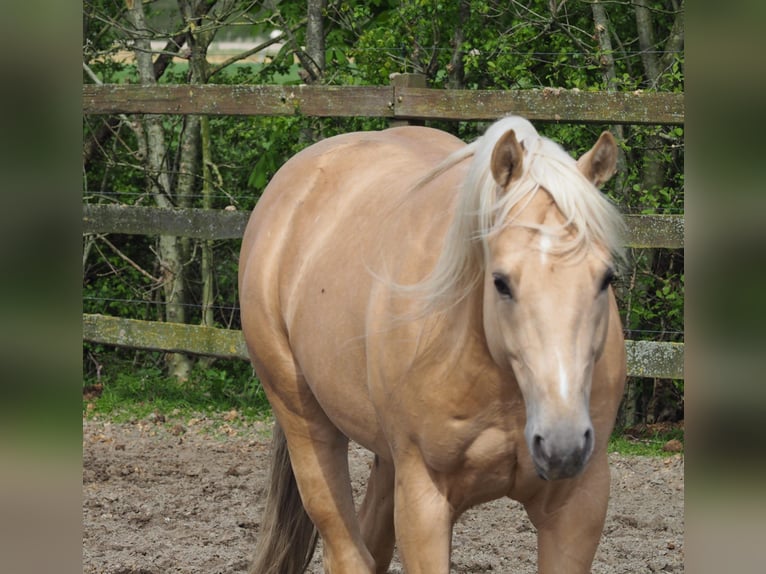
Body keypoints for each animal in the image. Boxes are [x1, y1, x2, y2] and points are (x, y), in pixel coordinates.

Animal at [240, 117, 632, 574]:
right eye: (501, 282)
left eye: (606, 278)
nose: (562, 443)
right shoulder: (423, 501)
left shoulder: (577, 505)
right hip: (306, 424)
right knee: (345, 550)